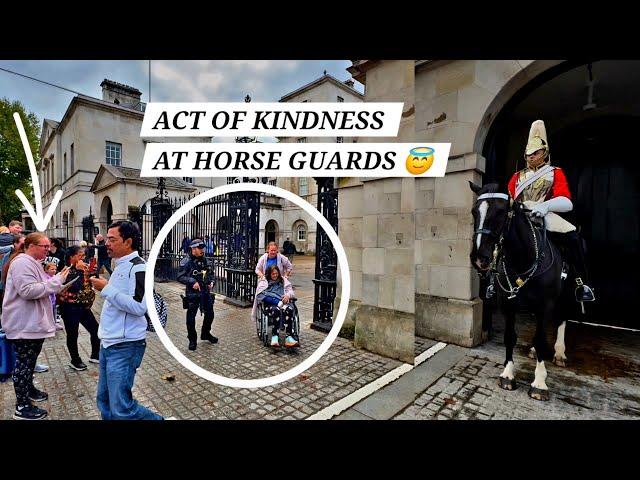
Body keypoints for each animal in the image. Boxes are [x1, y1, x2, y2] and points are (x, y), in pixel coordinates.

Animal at [468, 182, 572, 400]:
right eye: (474, 211)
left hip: (565, 296)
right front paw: (508, 374)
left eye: (500, 211)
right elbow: (510, 336)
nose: (479, 258)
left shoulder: (545, 304)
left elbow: (541, 339)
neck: (523, 257)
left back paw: (559, 352)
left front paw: (539, 383)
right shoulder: (508, 303)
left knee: (562, 318)